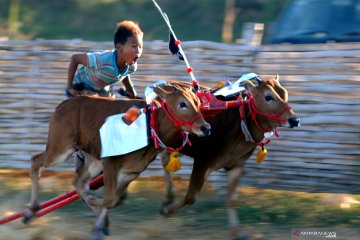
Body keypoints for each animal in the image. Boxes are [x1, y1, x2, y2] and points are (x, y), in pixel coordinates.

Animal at [23, 81, 211, 239]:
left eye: (198, 102)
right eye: (182, 103)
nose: (206, 127)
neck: (150, 125)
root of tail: (63, 105)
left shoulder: (131, 171)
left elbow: (115, 199)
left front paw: (99, 226)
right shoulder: (110, 162)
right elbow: (110, 198)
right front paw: (96, 210)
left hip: (92, 159)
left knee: (78, 181)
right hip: (61, 149)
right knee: (35, 161)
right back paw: (31, 211)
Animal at [160, 76, 300, 240]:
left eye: (284, 93)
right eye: (268, 96)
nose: (294, 120)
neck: (239, 127)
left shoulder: (236, 164)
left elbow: (232, 199)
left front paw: (236, 231)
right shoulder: (202, 161)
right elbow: (191, 197)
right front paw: (167, 211)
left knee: (165, 159)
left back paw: (168, 197)